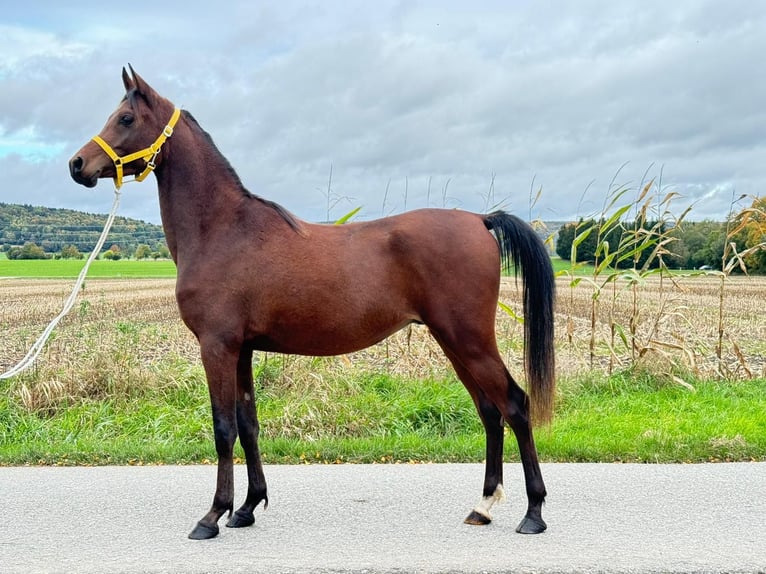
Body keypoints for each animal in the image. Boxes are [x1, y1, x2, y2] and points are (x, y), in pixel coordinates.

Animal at [69, 66, 556, 540]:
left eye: (125, 118)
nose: (77, 164)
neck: (223, 230)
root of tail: (480, 220)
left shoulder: (217, 346)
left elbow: (223, 428)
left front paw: (213, 515)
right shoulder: (242, 349)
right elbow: (248, 424)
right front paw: (247, 508)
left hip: (470, 340)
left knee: (516, 405)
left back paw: (533, 513)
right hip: (453, 342)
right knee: (490, 412)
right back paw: (483, 506)